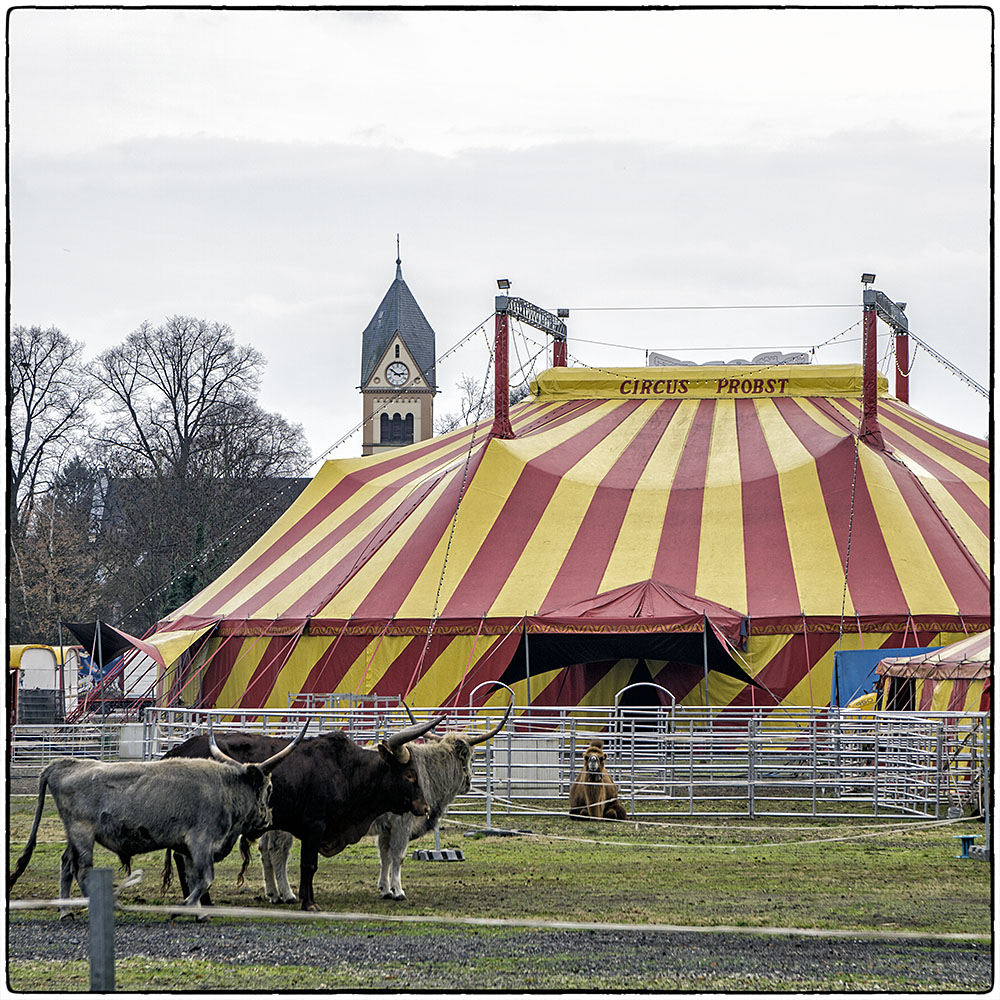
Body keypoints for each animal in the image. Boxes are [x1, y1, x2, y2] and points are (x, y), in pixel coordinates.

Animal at [6, 720, 304, 920]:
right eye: (269, 788)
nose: (267, 819)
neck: (223, 787)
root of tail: (62, 764)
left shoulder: (188, 849)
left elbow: (194, 878)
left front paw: (198, 912)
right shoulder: (201, 842)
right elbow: (205, 879)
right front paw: (182, 909)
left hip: (74, 836)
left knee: (66, 865)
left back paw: (66, 911)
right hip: (82, 834)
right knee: (80, 870)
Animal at [164, 716, 442, 912]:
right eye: (410, 775)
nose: (425, 807)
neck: (346, 770)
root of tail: (176, 750)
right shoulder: (314, 827)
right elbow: (309, 865)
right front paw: (309, 902)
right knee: (185, 858)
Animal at [254, 692, 516, 904]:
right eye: (467, 757)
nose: (470, 782)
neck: (427, 770)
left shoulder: (387, 828)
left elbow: (385, 856)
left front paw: (385, 889)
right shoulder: (403, 823)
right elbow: (397, 856)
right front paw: (398, 891)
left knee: (265, 851)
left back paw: (273, 893)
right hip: (285, 828)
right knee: (279, 853)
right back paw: (287, 893)